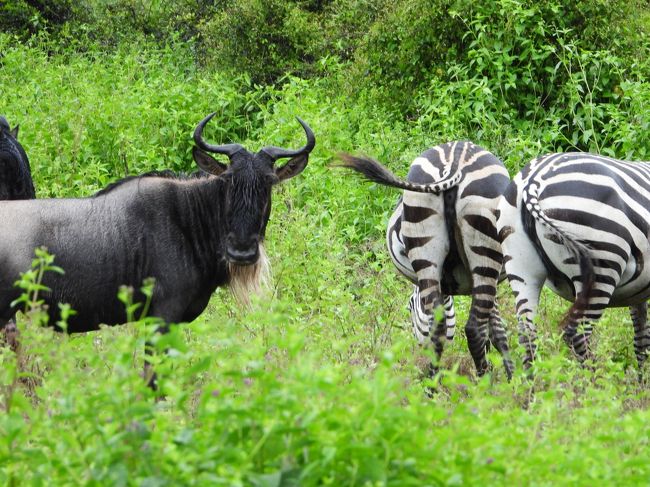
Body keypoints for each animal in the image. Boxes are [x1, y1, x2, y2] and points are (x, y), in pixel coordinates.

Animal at [340, 141, 512, 382]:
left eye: (409, 307)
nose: (419, 349)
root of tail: (455, 160)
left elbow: (495, 330)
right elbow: (496, 331)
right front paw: (517, 378)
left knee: (441, 329)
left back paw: (435, 385)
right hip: (480, 250)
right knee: (473, 328)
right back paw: (483, 384)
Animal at [496, 152, 648, 370]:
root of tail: (535, 178)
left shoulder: (638, 294)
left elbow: (641, 338)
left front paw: (640, 375)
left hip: (520, 267)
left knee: (527, 335)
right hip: (603, 267)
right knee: (577, 334)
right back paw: (594, 377)